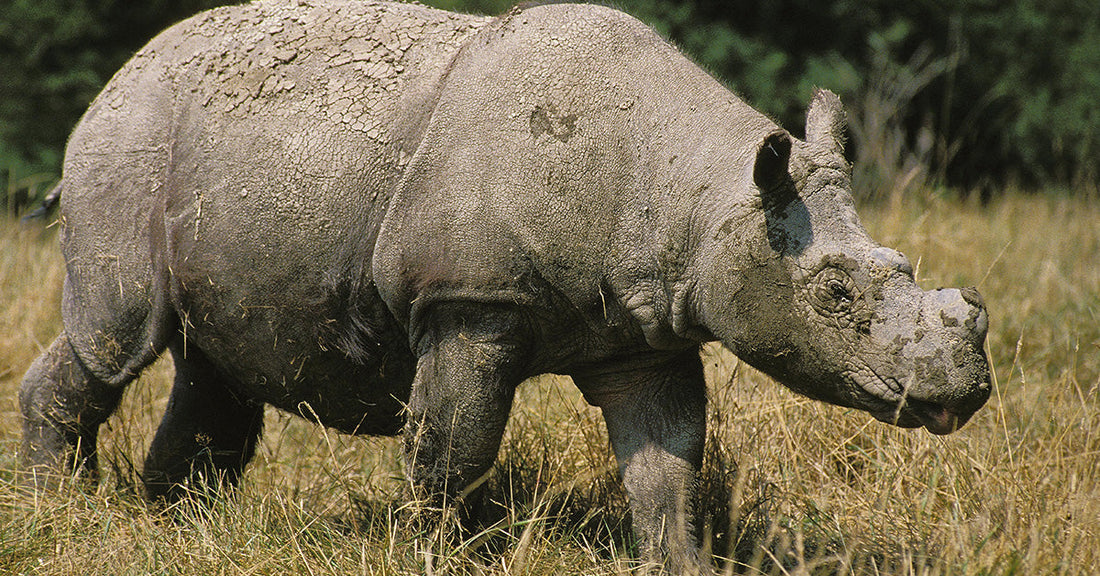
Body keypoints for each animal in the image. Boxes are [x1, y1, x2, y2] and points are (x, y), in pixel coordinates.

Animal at [20, 0, 991, 572]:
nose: (965, 389)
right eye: (833, 297)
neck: (699, 193)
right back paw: (59, 506)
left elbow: (667, 463)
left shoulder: (647, 328)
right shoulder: (471, 302)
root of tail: (118, 76)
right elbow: (455, 446)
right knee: (117, 338)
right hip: (127, 146)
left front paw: (678, 564)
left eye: (905, 274)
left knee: (216, 363)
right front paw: (434, 555)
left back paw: (177, 529)